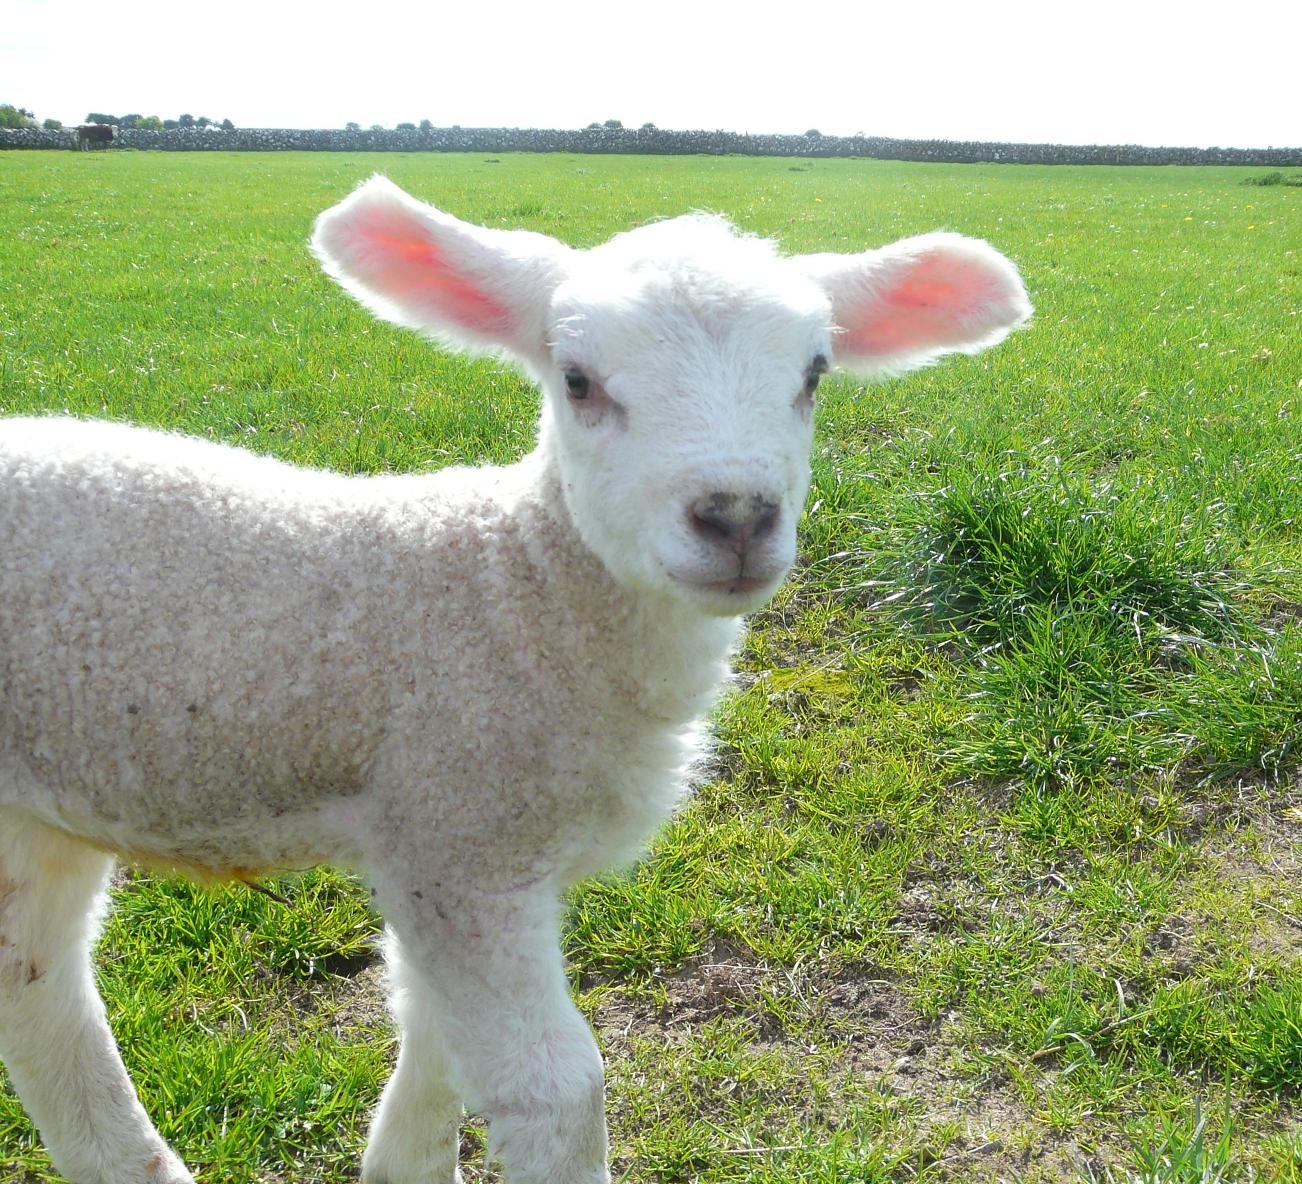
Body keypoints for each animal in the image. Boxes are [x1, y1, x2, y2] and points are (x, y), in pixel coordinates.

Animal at [0, 175, 1031, 1184]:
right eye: (577, 381)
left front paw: (402, 1164)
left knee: (38, 983)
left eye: (814, 375)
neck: (515, 592)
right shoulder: (461, 837)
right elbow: (554, 1091)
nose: (736, 516)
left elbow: (430, 1033)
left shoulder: (442, 854)